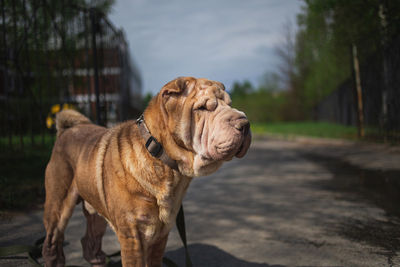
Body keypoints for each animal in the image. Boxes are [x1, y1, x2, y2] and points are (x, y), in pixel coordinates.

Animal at [43, 76, 250, 266]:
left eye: (229, 104)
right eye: (202, 108)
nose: (245, 123)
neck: (162, 159)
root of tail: (66, 131)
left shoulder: (161, 235)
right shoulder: (132, 236)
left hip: (95, 210)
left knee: (90, 239)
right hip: (58, 205)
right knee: (52, 241)